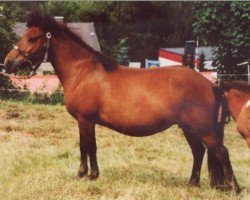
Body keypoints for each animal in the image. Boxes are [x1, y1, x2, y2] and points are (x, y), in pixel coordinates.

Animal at [3, 12, 241, 192]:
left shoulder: (85, 119)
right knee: (199, 152)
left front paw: (86, 174)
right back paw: (192, 184)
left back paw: (234, 188)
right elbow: (89, 146)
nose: (8, 63)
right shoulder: (87, 121)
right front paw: (91, 174)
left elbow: (86, 146)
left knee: (221, 152)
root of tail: (210, 84)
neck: (82, 71)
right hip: (189, 128)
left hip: (202, 128)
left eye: (32, 38)